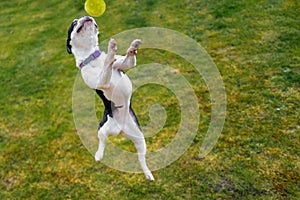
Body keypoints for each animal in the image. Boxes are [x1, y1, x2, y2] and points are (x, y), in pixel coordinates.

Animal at [66, 16, 154, 180]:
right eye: (74, 23)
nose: (86, 16)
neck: (91, 57)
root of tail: (120, 130)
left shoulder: (125, 64)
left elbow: (126, 59)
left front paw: (133, 46)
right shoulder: (101, 82)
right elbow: (107, 64)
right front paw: (111, 49)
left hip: (139, 138)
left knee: (141, 158)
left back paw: (148, 174)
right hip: (102, 129)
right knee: (102, 141)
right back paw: (98, 155)